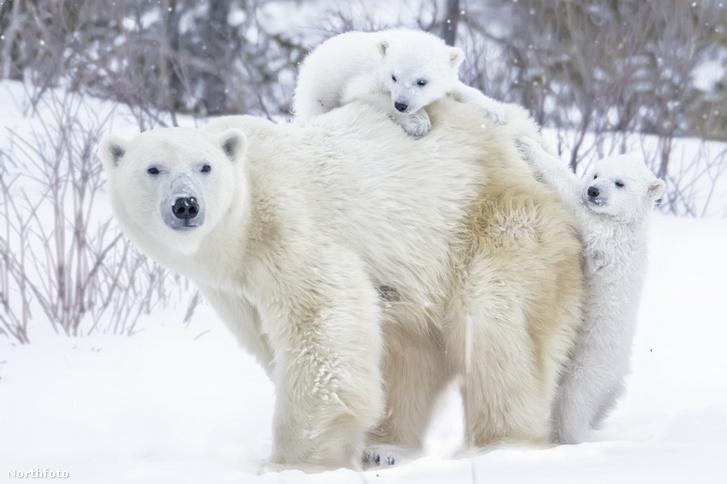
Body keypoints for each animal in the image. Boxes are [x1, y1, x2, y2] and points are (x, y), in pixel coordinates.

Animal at [99, 100, 584, 470]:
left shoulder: (289, 228)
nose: (186, 205)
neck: (244, 222)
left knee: (498, 329)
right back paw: (385, 447)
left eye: (205, 167)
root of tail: (531, 133)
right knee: (407, 347)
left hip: (497, 218)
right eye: (153, 169)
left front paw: (292, 464)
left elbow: (320, 327)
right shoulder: (233, 287)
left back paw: (500, 445)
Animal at [292, 28, 506, 136]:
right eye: (394, 77)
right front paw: (418, 121)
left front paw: (495, 112)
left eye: (422, 81)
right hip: (316, 95)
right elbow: (363, 93)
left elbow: (458, 88)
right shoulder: (366, 76)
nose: (401, 105)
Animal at [516, 138, 664, 444]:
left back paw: (569, 436)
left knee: (573, 402)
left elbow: (574, 199)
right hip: (611, 386)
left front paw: (528, 146)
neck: (628, 224)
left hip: (588, 367)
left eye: (619, 182)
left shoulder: (607, 235)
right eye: (596, 174)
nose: (593, 191)